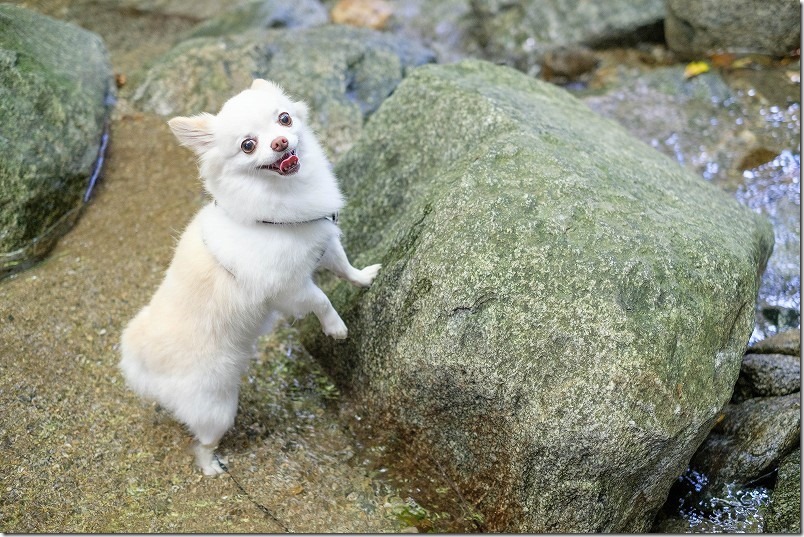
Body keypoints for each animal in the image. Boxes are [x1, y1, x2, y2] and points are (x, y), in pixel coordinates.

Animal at [118, 78, 380, 474]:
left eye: (284, 119)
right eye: (248, 145)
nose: (280, 143)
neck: (280, 206)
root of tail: (140, 361)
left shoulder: (323, 243)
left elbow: (344, 266)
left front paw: (364, 278)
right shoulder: (289, 288)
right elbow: (321, 298)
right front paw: (336, 328)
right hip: (217, 408)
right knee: (203, 443)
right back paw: (213, 467)